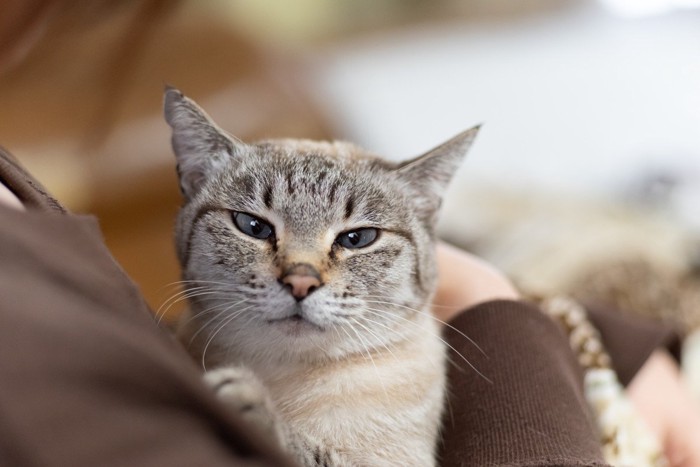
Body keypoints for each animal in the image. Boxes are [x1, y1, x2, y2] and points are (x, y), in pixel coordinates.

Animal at [165, 88, 482, 467]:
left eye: (357, 239)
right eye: (253, 227)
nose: (301, 283)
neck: (287, 371)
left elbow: (309, 452)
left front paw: (245, 403)